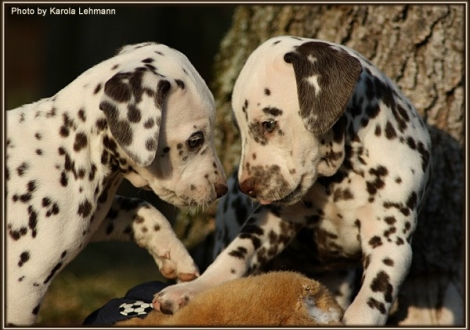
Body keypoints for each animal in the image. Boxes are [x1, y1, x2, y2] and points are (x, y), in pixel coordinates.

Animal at [5, 41, 228, 324]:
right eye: (195, 139)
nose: (223, 189)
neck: (71, 150)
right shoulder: (21, 289)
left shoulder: (96, 218)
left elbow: (141, 209)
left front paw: (174, 255)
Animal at [152, 35, 432, 324]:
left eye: (268, 124)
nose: (245, 187)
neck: (339, 177)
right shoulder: (271, 222)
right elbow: (233, 257)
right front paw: (191, 290)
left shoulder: (391, 242)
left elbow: (373, 294)